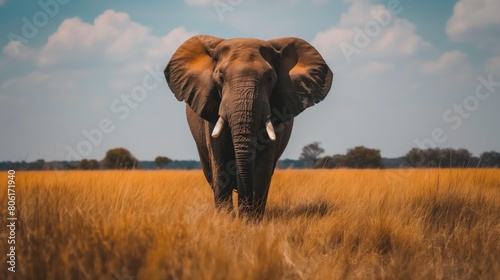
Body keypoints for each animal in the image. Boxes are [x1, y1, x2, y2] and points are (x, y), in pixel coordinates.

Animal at [164, 34, 334, 219]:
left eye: (270, 79)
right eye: (220, 78)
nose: (243, 212)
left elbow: (262, 169)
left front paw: (250, 221)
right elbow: (220, 164)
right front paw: (227, 221)